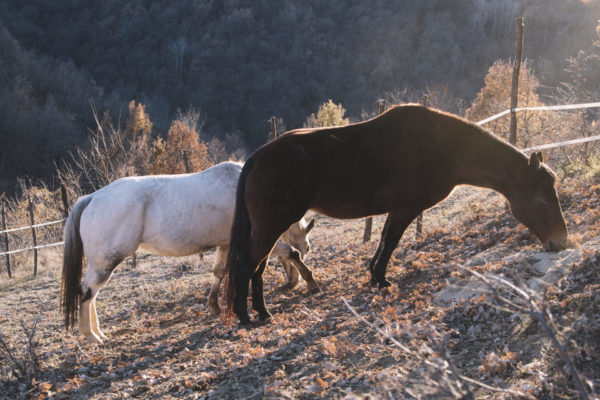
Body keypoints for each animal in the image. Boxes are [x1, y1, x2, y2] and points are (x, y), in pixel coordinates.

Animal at [59, 161, 318, 342]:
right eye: (306, 244)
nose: (290, 283)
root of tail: (92, 198)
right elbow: (290, 252)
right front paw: (309, 280)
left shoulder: (225, 244)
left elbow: (218, 272)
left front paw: (213, 305)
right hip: (105, 263)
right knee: (87, 292)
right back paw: (91, 335)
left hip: (99, 264)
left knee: (91, 295)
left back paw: (98, 332)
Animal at [225, 104, 568, 324]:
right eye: (542, 198)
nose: (561, 241)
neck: (442, 146)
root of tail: (257, 157)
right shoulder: (407, 208)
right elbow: (391, 241)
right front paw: (380, 278)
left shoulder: (397, 209)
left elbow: (384, 240)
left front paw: (373, 275)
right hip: (271, 227)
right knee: (248, 265)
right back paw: (246, 316)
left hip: (269, 229)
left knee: (258, 266)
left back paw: (261, 312)